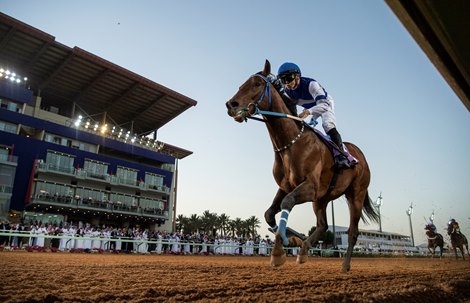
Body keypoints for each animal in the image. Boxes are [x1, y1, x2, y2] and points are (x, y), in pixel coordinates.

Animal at [226, 60, 380, 274]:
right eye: (242, 84)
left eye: (256, 84)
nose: (231, 105)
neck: (290, 144)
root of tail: (360, 156)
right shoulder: (286, 186)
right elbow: (269, 214)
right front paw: (291, 240)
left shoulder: (310, 187)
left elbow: (287, 203)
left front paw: (281, 247)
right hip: (322, 199)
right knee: (323, 225)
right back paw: (305, 248)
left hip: (355, 195)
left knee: (352, 232)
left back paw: (345, 265)